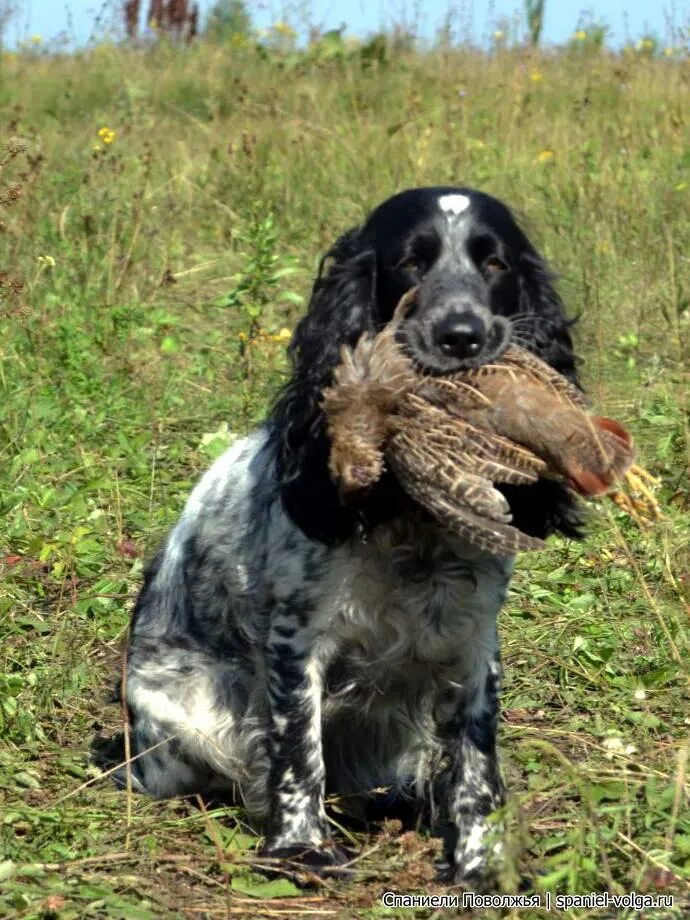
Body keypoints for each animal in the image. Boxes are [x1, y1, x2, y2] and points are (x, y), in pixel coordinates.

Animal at [119, 187, 580, 884]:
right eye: (410, 262)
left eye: (495, 263)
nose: (462, 336)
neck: (411, 518)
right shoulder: (296, 636)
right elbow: (296, 750)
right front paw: (302, 849)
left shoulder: (475, 639)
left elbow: (477, 767)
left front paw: (480, 864)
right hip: (184, 718)